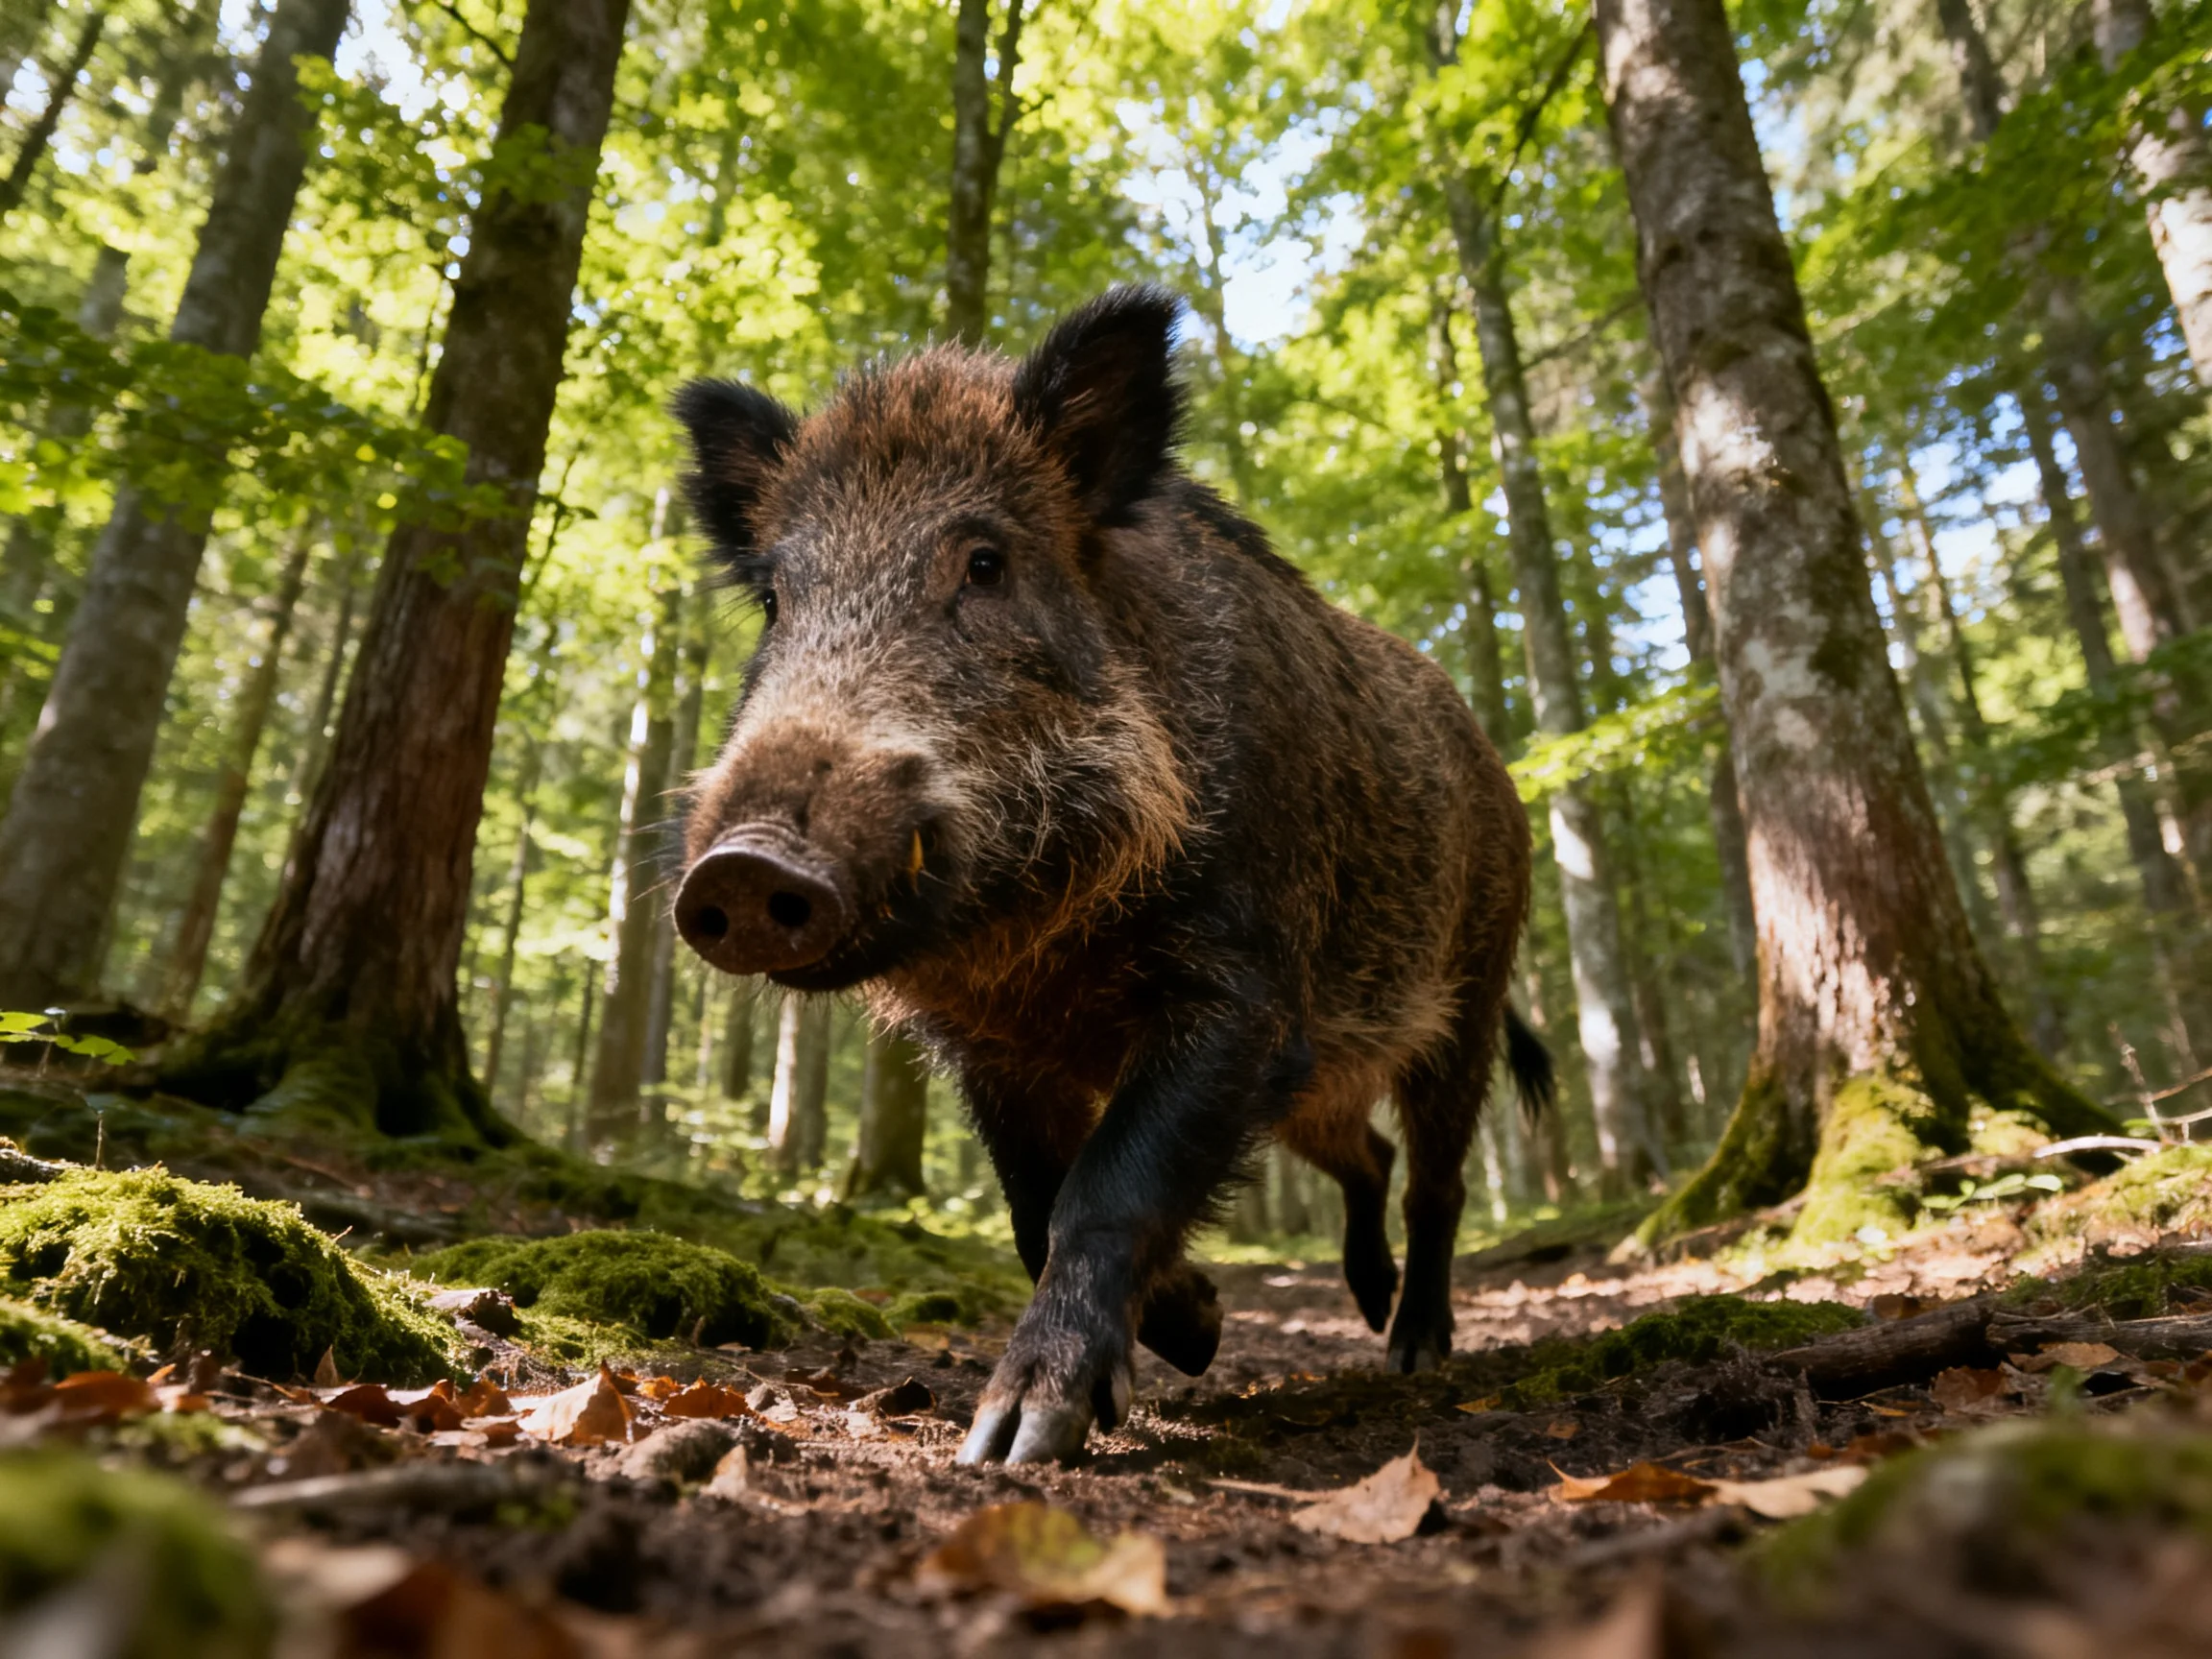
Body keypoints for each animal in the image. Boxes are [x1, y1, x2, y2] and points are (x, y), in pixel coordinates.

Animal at [670, 286, 1548, 1465]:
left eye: (985, 563)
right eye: (774, 600)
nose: (741, 864)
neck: (1041, 952)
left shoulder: (1245, 992)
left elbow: (1107, 1185)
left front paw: (1018, 1438)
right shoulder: (990, 1052)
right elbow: (1032, 1207)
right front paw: (1197, 1326)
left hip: (1471, 997)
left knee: (1437, 1178)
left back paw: (1413, 1350)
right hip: (1323, 1084)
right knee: (1364, 1155)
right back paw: (1363, 1306)